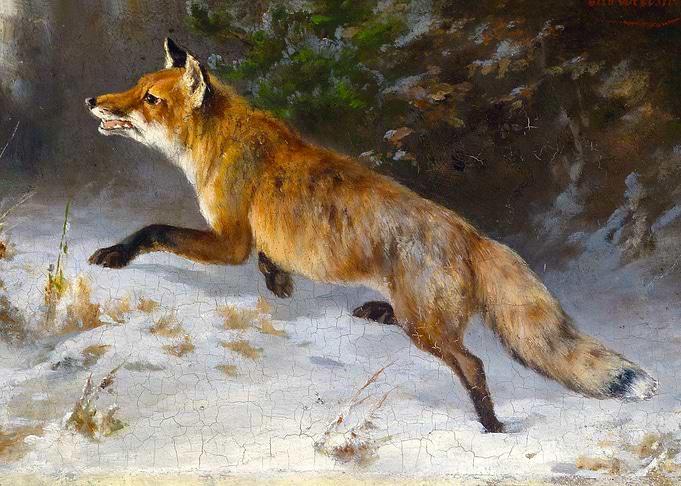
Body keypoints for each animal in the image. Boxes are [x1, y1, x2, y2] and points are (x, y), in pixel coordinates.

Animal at [85, 38, 657, 433]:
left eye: (149, 98)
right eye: (136, 86)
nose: (93, 99)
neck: (220, 144)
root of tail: (472, 234)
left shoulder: (229, 241)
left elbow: (154, 228)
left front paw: (116, 253)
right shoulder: (251, 240)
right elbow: (268, 259)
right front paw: (279, 284)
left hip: (428, 329)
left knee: (471, 363)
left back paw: (491, 424)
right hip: (424, 318)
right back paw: (377, 311)